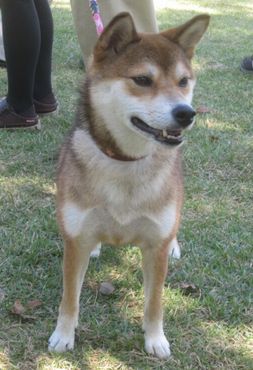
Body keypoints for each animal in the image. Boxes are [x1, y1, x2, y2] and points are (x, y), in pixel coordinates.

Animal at [48, 12, 209, 358]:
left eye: (183, 81)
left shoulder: (154, 250)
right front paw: (63, 335)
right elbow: (70, 298)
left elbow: (154, 302)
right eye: (143, 80)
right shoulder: (74, 242)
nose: (186, 113)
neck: (126, 163)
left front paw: (155, 339)